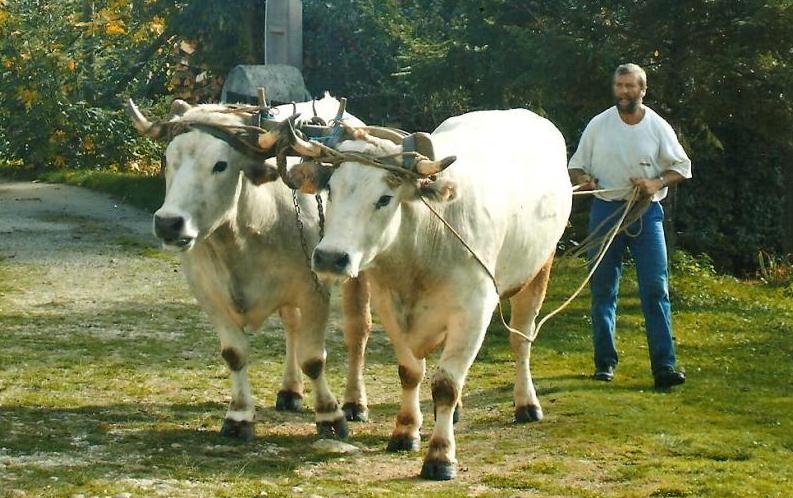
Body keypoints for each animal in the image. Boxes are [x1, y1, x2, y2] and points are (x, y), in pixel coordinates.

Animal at [126, 95, 373, 441]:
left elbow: (313, 359)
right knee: (291, 326)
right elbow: (235, 354)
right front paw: (239, 416)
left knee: (357, 330)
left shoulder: (314, 292)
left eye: (220, 164)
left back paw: (354, 402)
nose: (168, 223)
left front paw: (329, 415)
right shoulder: (208, 294)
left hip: (355, 272)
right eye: (168, 159)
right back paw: (290, 391)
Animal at [277, 109, 572, 479]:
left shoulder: (474, 311)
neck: (421, 249)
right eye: (332, 189)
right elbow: (411, 372)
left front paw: (440, 455)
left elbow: (446, 384)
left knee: (521, 340)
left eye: (384, 198)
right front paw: (405, 430)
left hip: (539, 270)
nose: (330, 257)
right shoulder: (389, 305)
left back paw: (526, 403)